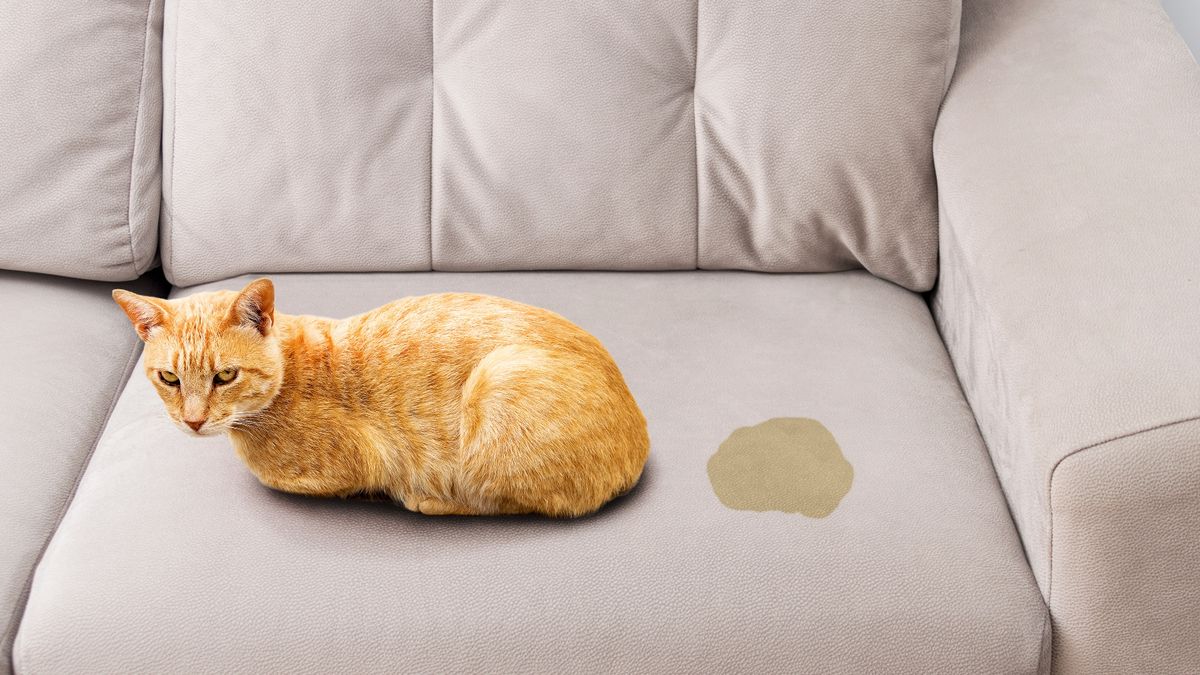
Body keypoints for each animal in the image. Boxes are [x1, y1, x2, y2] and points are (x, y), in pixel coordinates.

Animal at [114, 278, 648, 514]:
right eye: (169, 378)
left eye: (225, 375)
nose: (193, 421)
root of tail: (640, 437)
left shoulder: (361, 463)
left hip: (497, 385)